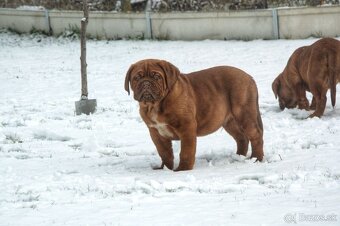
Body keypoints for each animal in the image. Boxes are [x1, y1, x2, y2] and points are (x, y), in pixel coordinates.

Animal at [124, 59, 262, 170]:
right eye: (137, 77)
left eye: (157, 76)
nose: (146, 83)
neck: (155, 105)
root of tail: (249, 77)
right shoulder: (155, 132)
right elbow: (164, 152)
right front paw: (165, 169)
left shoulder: (186, 127)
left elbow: (186, 151)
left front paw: (183, 169)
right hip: (229, 121)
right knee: (241, 138)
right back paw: (238, 157)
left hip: (244, 113)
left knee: (256, 135)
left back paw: (256, 159)